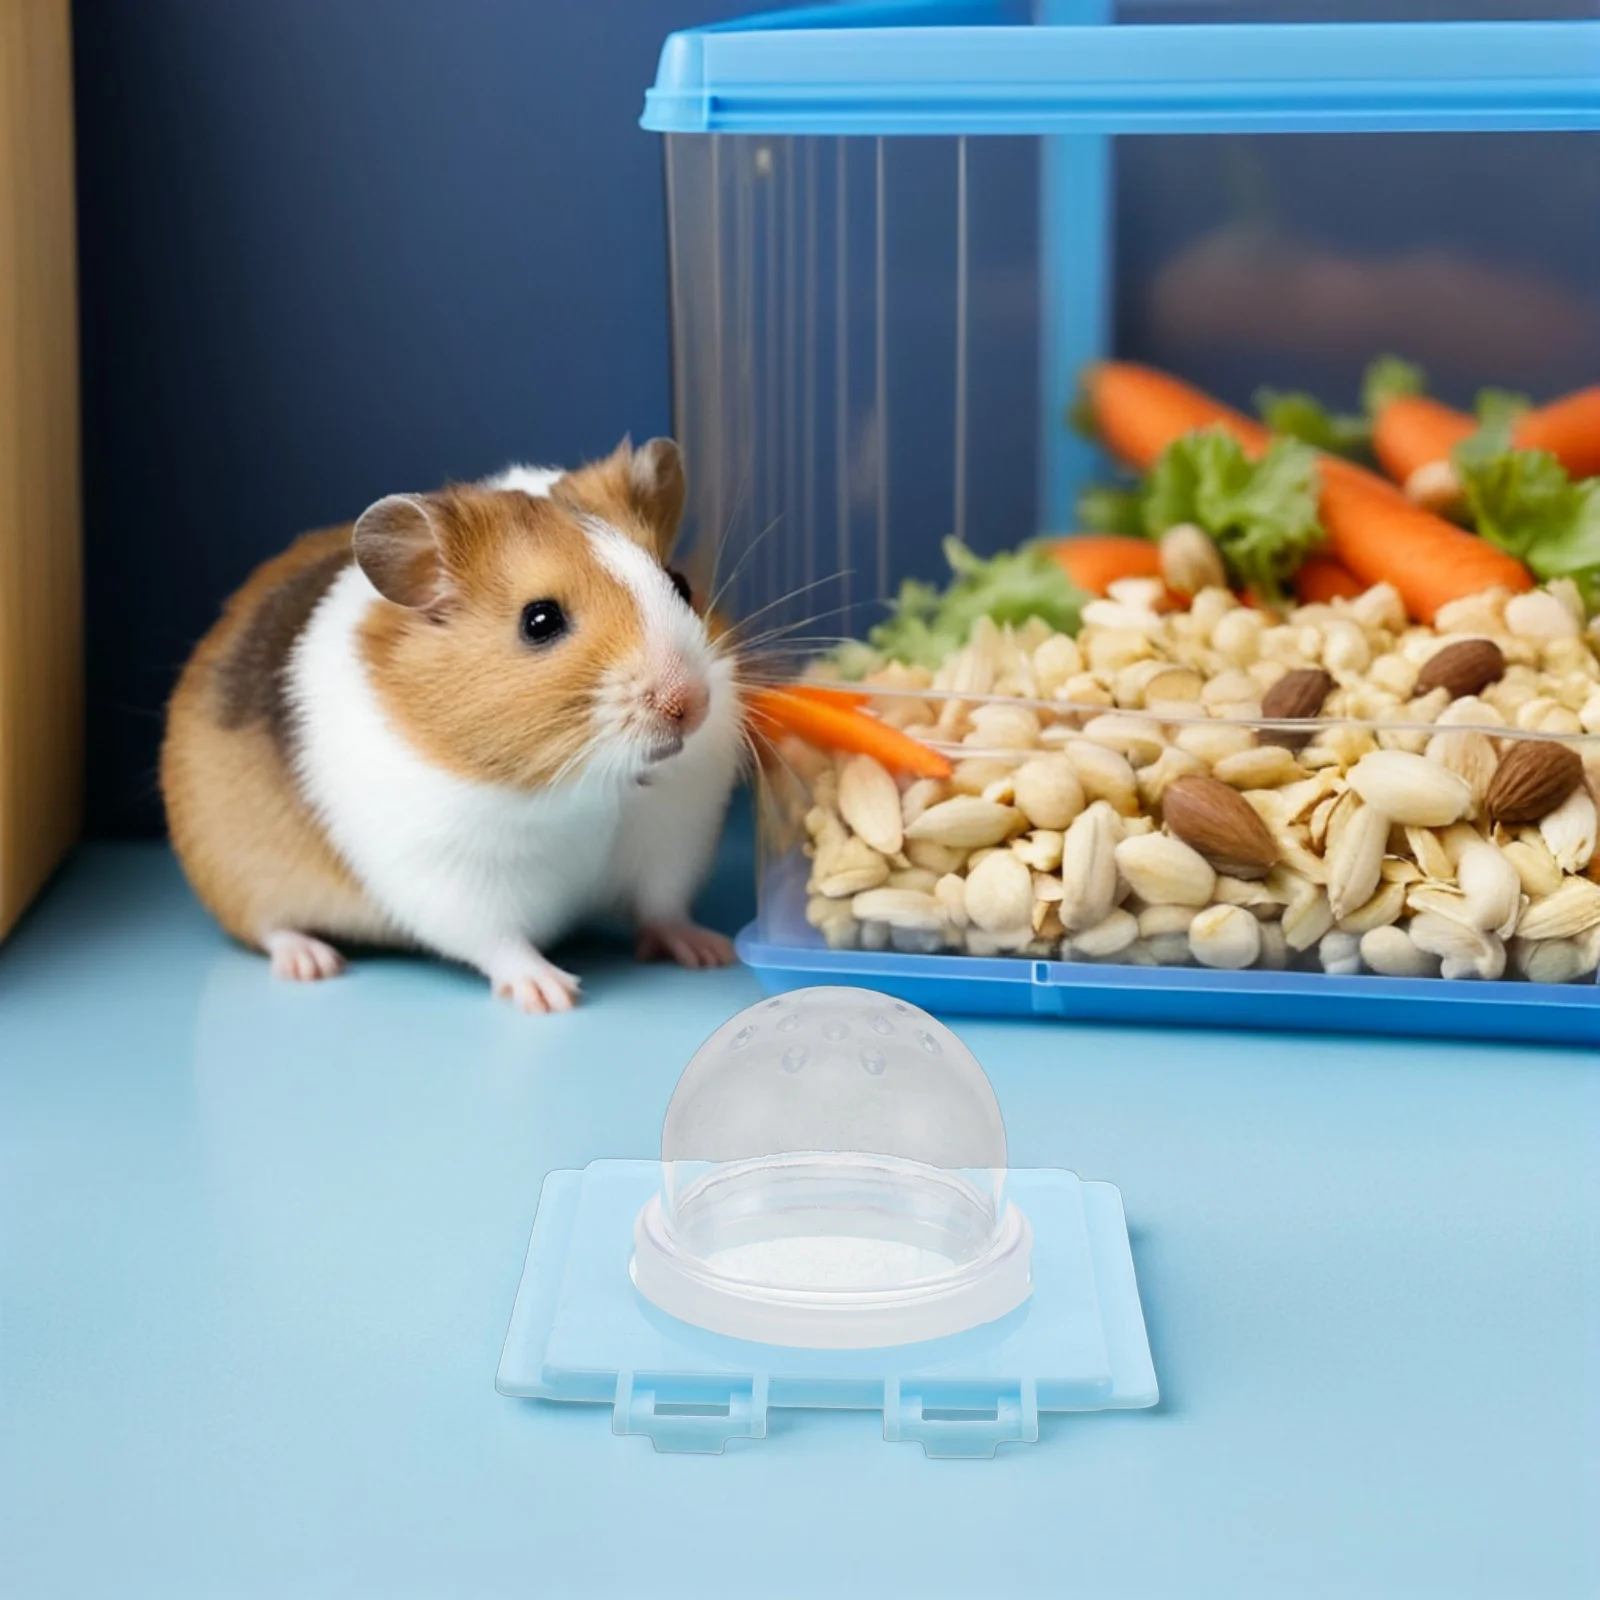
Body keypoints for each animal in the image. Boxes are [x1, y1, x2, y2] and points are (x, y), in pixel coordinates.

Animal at [161, 437, 745, 1013]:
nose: (691, 703)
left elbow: (664, 909)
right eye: (539, 621)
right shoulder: (454, 876)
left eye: (680, 584)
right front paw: (553, 995)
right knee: (267, 929)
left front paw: (712, 954)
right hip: (237, 879)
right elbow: (500, 943)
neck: (592, 788)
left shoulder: (671, 839)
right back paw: (313, 962)